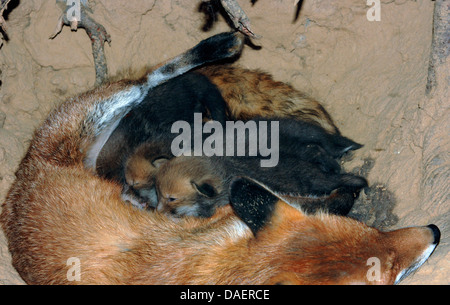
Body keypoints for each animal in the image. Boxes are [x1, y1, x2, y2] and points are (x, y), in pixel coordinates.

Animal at [0, 32, 438, 284]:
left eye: (373, 231)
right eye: (391, 274)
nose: (434, 231)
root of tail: (17, 186)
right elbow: (332, 192)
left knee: (151, 78)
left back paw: (220, 44)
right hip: (97, 111)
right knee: (150, 77)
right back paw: (218, 44)